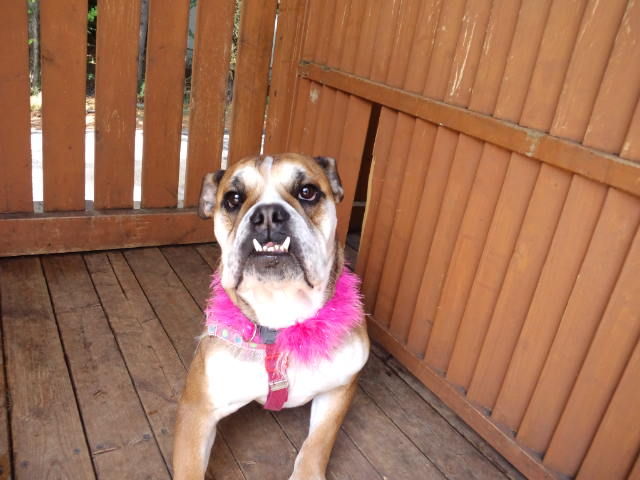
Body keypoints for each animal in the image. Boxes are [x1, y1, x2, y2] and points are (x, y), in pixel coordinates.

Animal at [173, 153, 370, 479]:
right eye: (233, 199)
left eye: (307, 192)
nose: (267, 215)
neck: (281, 313)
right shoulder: (197, 410)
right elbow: (189, 470)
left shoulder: (339, 390)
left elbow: (316, 446)